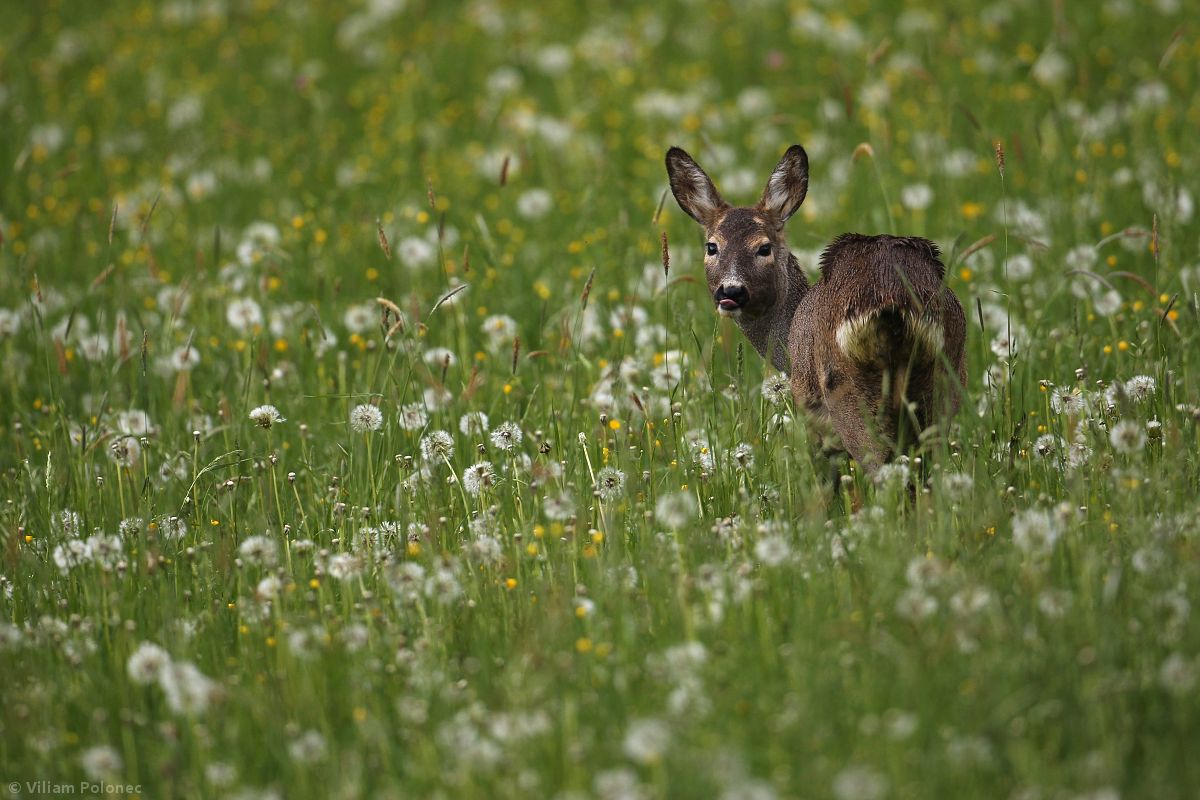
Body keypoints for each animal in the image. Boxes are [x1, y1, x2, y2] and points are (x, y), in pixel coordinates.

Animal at [667, 143, 964, 472]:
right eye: (712, 246)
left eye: (764, 248)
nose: (730, 291)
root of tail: (894, 305)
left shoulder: (809, 408)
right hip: (943, 382)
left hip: (847, 394)